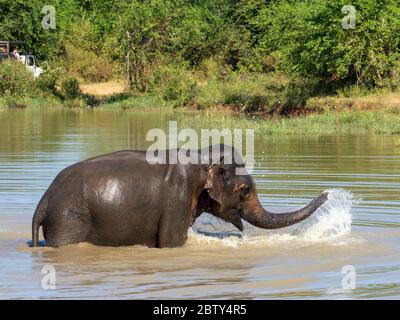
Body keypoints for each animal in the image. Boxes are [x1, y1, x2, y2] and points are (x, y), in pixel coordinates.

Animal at [32, 144, 328, 248]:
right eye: (245, 191)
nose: (327, 192)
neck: (202, 155)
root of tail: (43, 201)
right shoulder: (177, 199)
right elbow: (172, 242)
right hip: (69, 220)